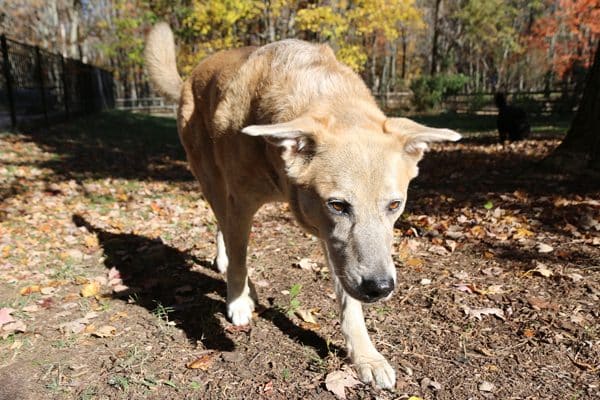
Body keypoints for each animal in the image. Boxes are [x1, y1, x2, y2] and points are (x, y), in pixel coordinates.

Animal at [144, 23, 460, 390]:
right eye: (338, 205)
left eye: (395, 205)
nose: (380, 288)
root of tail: (190, 77)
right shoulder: (243, 204)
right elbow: (240, 258)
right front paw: (237, 301)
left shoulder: (335, 244)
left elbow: (349, 303)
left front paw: (366, 356)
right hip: (212, 182)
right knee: (225, 229)